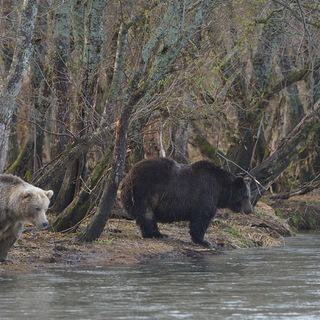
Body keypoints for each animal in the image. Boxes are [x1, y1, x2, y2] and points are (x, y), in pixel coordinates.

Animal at [120, 158, 252, 248]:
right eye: (246, 196)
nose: (250, 210)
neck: (221, 189)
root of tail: (128, 175)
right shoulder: (206, 191)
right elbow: (202, 216)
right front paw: (203, 241)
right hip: (143, 191)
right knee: (147, 214)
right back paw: (157, 234)